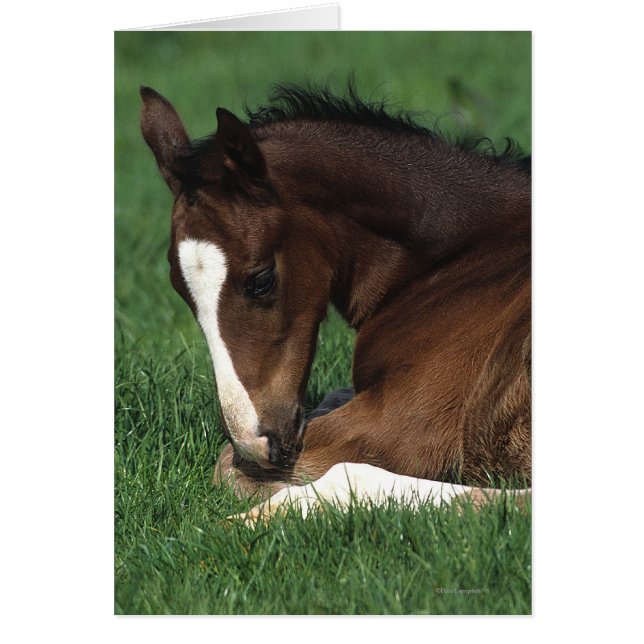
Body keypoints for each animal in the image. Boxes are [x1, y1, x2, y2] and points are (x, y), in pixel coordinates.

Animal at [140, 84, 531, 521]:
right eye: (180, 289)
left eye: (261, 280)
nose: (255, 443)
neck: (460, 262)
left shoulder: (407, 421)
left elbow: (225, 465)